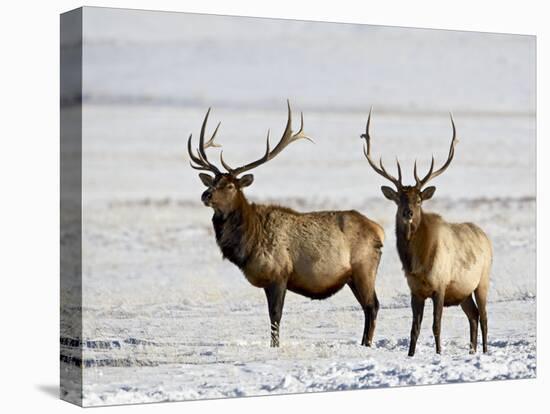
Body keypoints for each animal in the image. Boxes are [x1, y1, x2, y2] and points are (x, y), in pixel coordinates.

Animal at [188, 102, 386, 348]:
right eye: (213, 181)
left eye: (231, 185)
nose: (205, 195)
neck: (248, 244)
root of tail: (379, 230)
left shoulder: (279, 274)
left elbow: (275, 316)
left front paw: (275, 346)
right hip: (353, 277)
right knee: (369, 307)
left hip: (364, 268)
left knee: (372, 305)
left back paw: (366, 344)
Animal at [362, 110, 496, 356]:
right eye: (399, 199)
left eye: (418, 199)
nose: (408, 213)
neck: (418, 263)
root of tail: (485, 236)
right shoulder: (415, 290)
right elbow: (414, 328)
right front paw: (411, 354)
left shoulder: (440, 285)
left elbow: (436, 325)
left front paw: (439, 353)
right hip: (463, 291)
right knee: (473, 316)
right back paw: (471, 351)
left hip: (482, 280)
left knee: (483, 317)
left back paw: (483, 351)